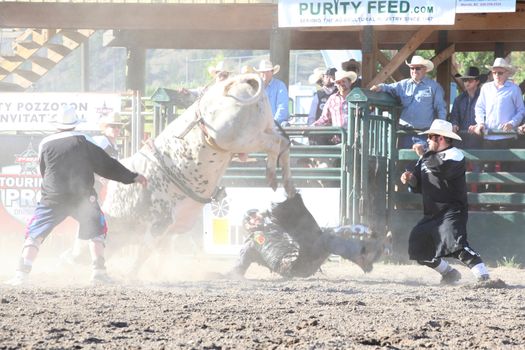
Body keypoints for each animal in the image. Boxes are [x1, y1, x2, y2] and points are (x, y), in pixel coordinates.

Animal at [99, 72, 294, 272]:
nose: (84, 257)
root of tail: (240, 79)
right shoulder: (170, 228)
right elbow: (161, 251)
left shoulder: (158, 224)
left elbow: (143, 253)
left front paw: (131, 273)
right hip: (265, 127)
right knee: (284, 144)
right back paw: (288, 185)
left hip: (244, 138)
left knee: (276, 144)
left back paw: (271, 175)